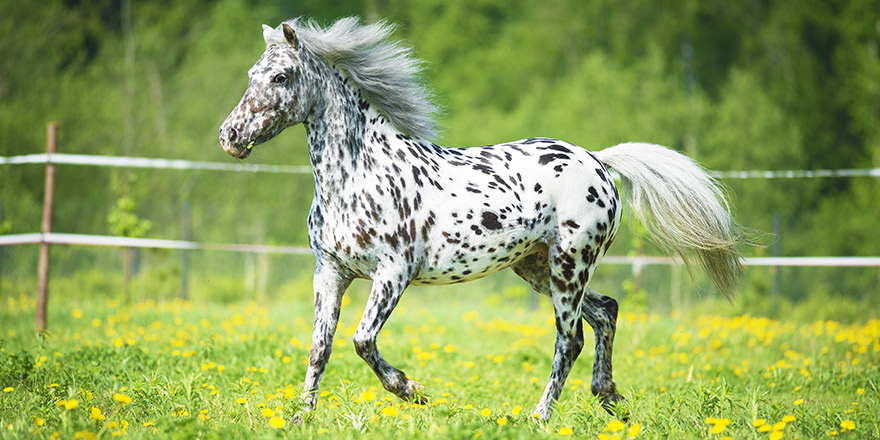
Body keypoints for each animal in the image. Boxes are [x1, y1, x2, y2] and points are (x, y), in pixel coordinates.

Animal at [218, 17, 744, 422]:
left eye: (281, 77)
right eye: (250, 74)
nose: (230, 136)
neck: (358, 173)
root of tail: (597, 161)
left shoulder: (394, 272)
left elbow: (362, 340)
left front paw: (412, 390)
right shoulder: (330, 272)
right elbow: (320, 348)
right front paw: (300, 417)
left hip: (569, 266)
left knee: (570, 339)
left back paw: (540, 416)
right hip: (536, 267)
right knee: (606, 311)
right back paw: (610, 398)